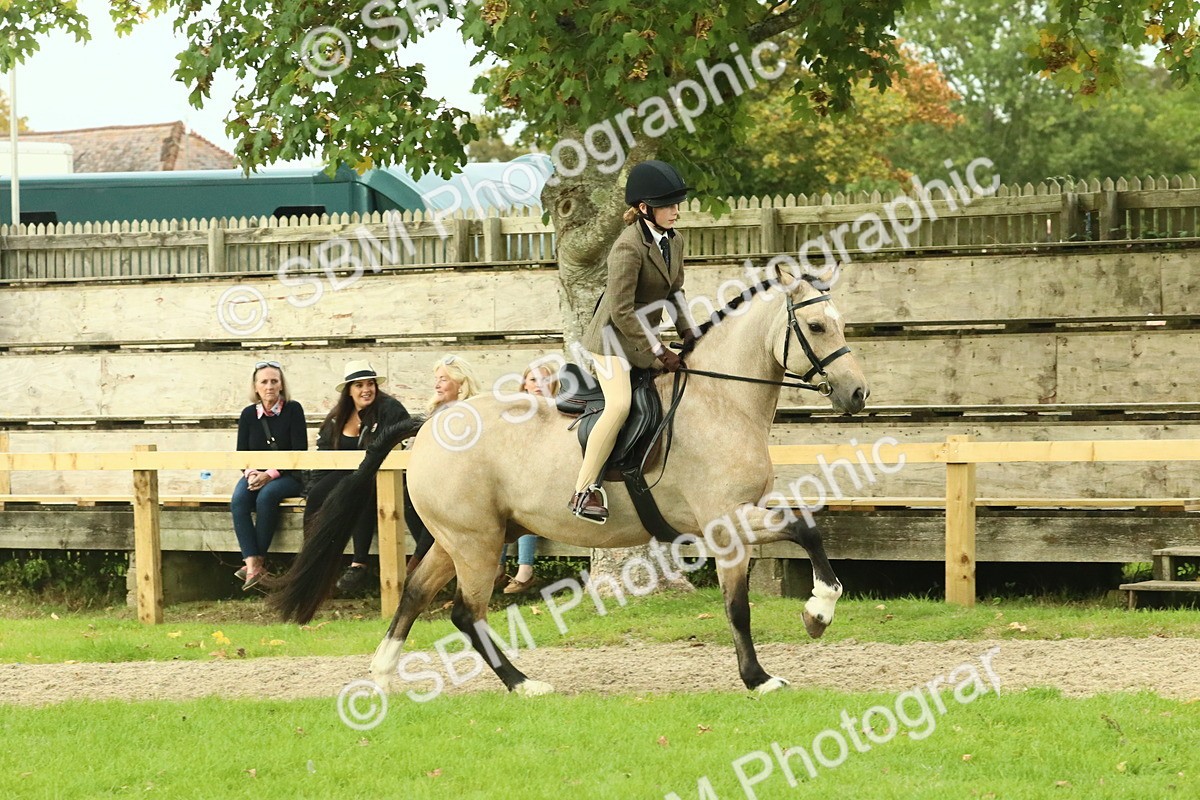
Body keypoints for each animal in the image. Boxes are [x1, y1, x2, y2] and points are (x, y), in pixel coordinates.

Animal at [272, 268, 869, 696]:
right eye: (818, 327)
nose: (857, 394)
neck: (721, 400)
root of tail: (433, 421)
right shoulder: (726, 523)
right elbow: (754, 589)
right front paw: (778, 657)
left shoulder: (743, 517)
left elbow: (795, 540)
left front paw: (811, 618)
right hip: (476, 543)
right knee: (466, 611)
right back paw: (523, 684)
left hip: (467, 537)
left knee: (418, 594)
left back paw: (383, 672)